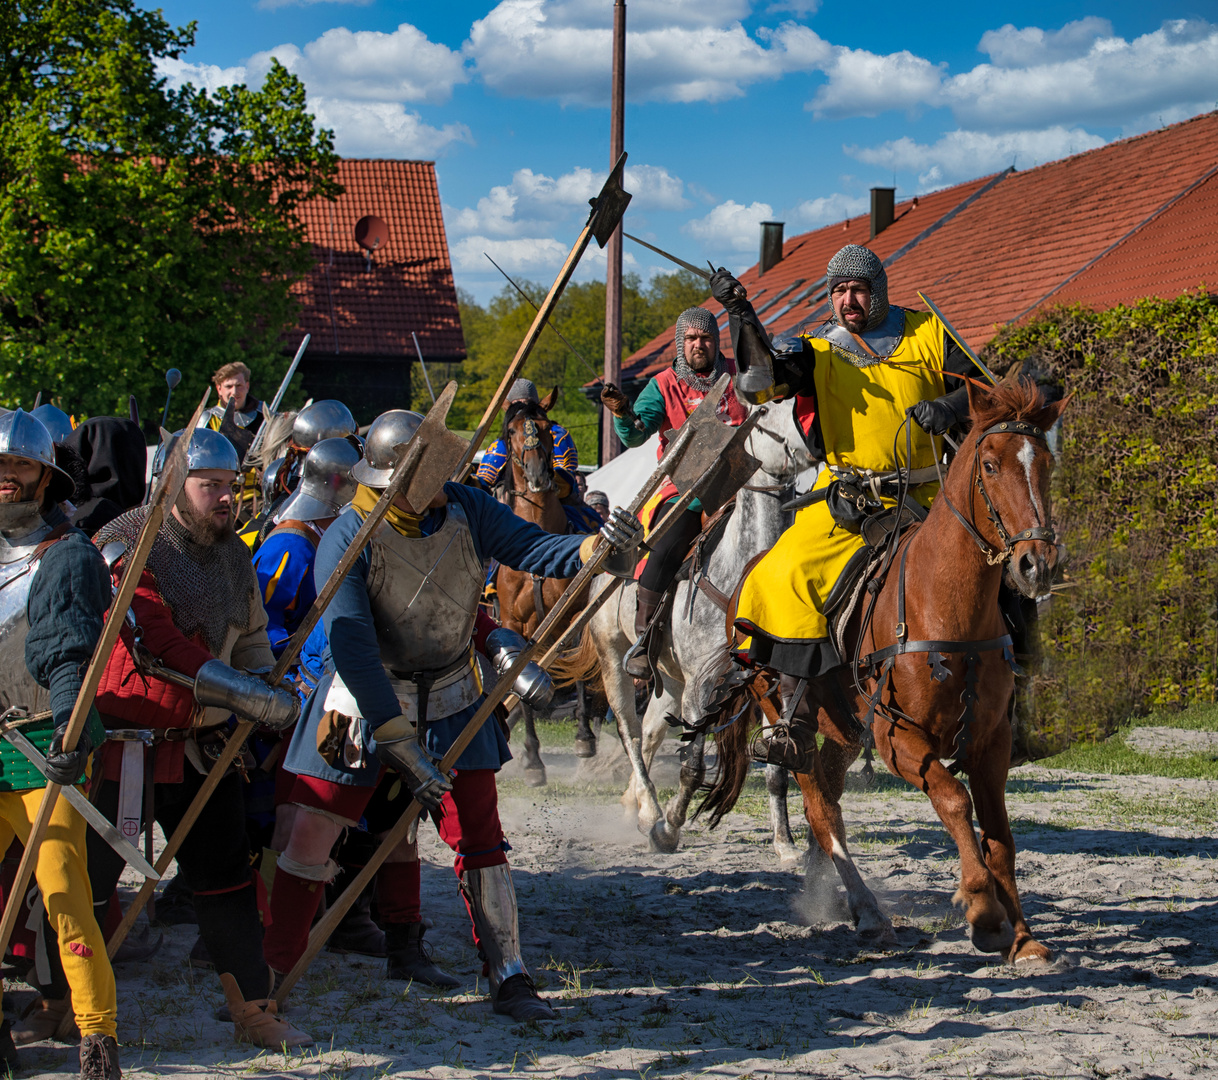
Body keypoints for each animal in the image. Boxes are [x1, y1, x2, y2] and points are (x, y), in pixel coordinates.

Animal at [560, 401, 818, 857]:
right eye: (765, 413)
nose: (812, 436)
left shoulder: (768, 683)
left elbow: (776, 765)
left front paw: (785, 843)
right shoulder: (702, 684)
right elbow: (693, 768)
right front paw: (669, 829)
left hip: (669, 678)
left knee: (649, 731)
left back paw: (637, 808)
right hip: (615, 658)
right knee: (630, 731)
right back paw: (650, 810)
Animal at [706, 377, 1066, 964]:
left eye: (1047, 465)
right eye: (990, 465)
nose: (1035, 564)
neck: (943, 607)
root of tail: (747, 572)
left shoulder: (992, 743)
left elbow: (1000, 839)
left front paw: (1022, 936)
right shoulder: (899, 740)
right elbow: (953, 799)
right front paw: (983, 911)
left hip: (844, 731)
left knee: (829, 799)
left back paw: (838, 900)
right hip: (787, 716)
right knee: (818, 806)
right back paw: (869, 910)